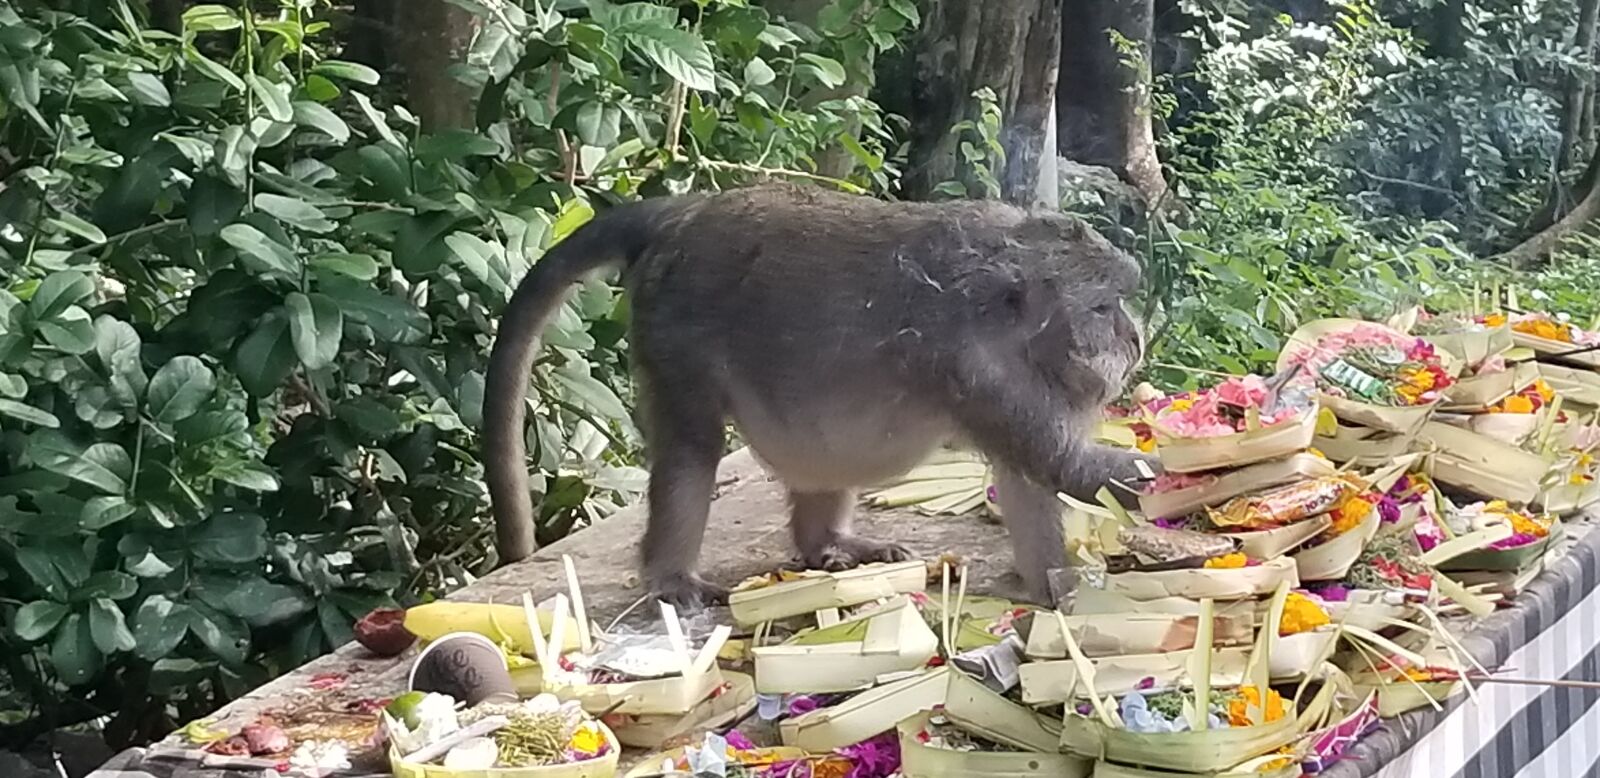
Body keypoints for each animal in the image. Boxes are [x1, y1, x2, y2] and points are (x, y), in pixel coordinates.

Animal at [483, 184, 1156, 609]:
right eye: (1104, 307)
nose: (1135, 338)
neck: (1000, 314)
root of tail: (684, 214)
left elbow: (1028, 480)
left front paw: (1056, 587)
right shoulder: (978, 370)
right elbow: (1058, 464)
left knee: (827, 452)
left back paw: (824, 543)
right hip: (671, 326)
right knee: (692, 447)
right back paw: (672, 575)